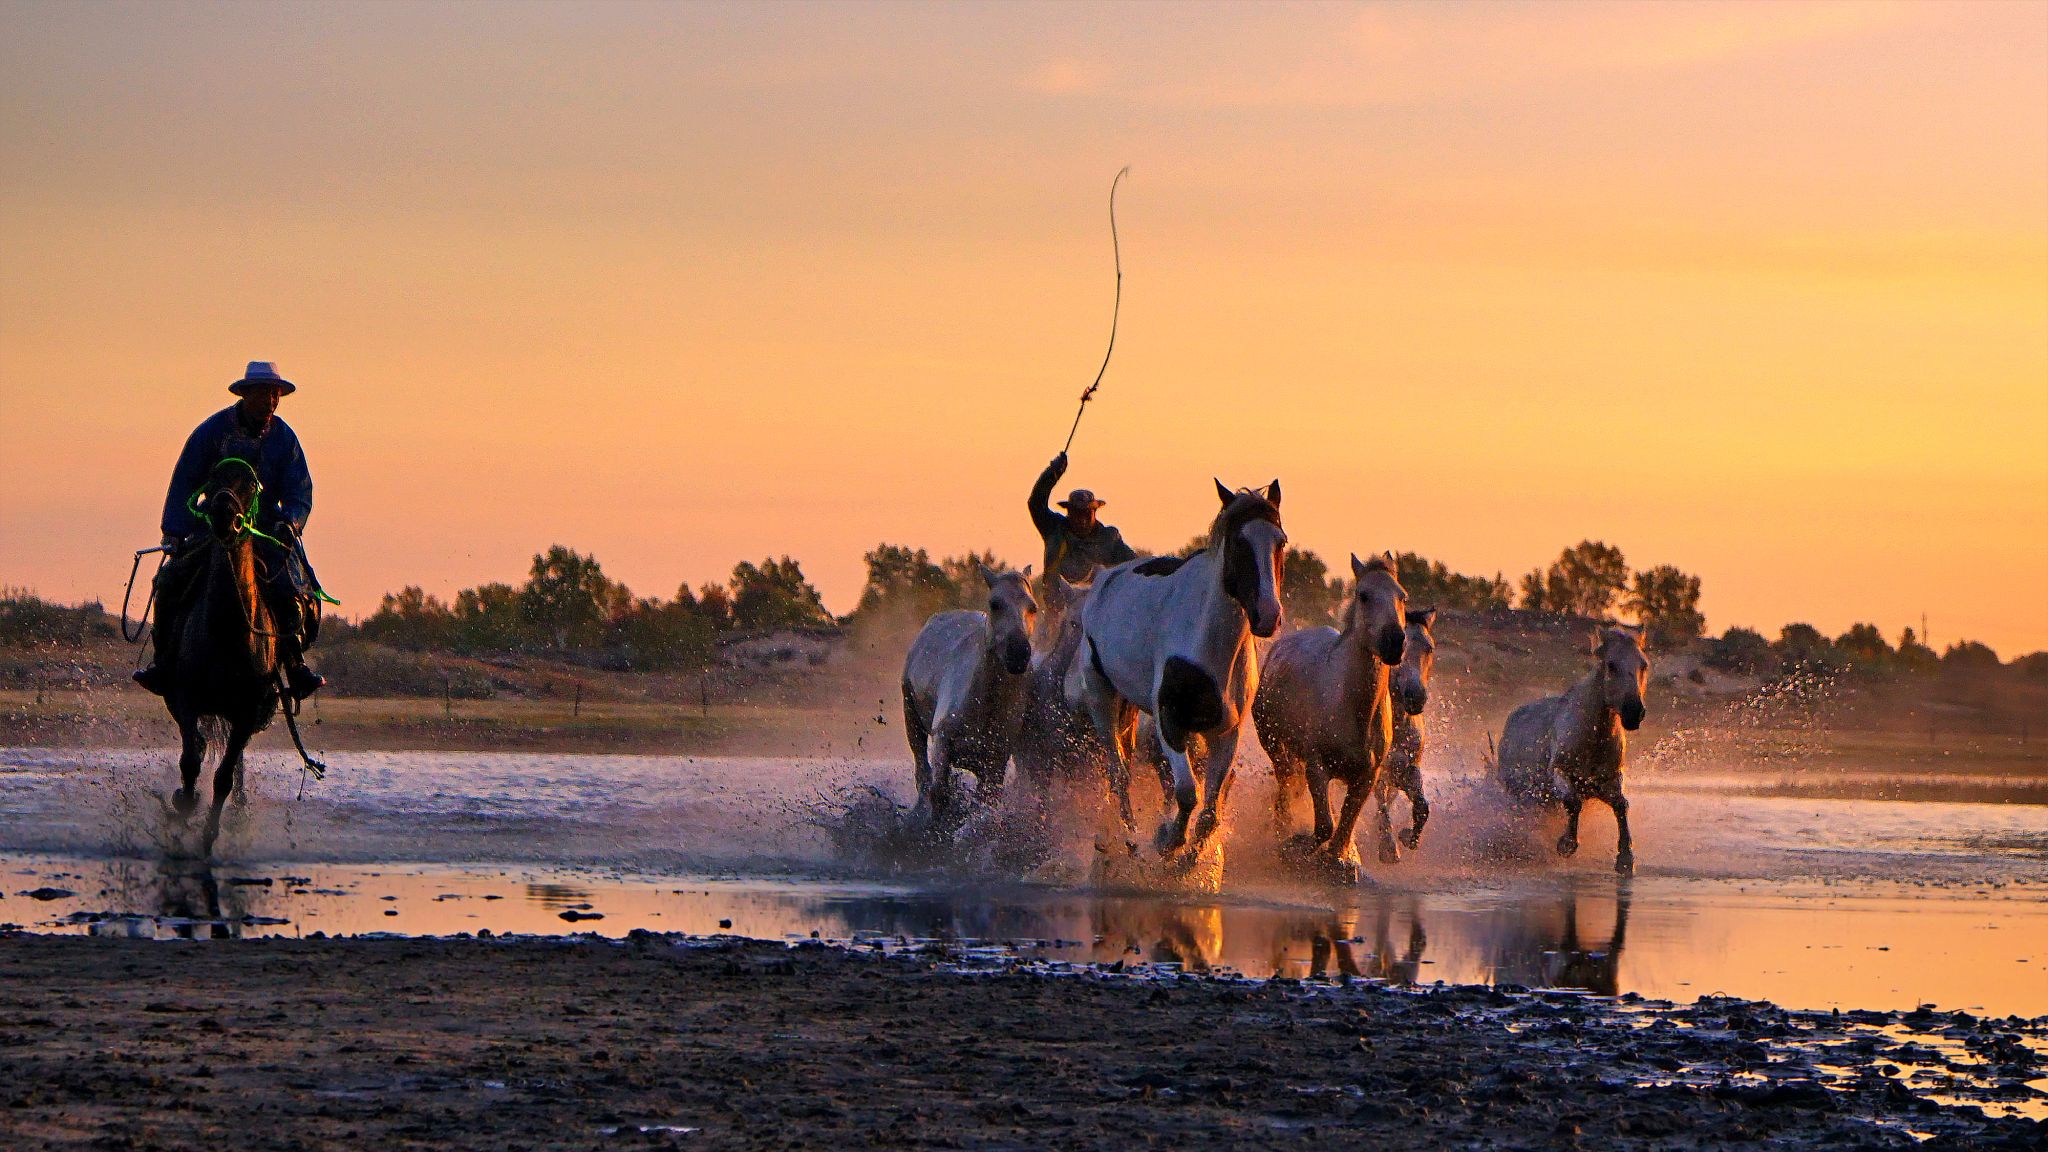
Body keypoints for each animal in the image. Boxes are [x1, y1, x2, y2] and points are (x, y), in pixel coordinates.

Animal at [905, 561, 1040, 824]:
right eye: (994, 603)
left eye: (1033, 607)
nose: (1018, 653)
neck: (985, 703)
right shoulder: (942, 743)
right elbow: (939, 794)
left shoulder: (995, 763)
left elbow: (984, 804)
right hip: (912, 719)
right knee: (922, 774)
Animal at [1064, 475, 1286, 860]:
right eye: (1238, 543)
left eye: (1281, 541)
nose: (1268, 615)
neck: (1209, 647)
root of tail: (1104, 577)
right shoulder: (1169, 722)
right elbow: (1186, 791)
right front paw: (1167, 839)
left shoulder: (1226, 734)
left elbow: (1210, 810)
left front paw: (1191, 856)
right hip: (1102, 701)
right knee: (1118, 773)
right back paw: (1130, 835)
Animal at [1245, 553, 1409, 865]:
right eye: (1363, 595)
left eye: (1402, 596)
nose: (1394, 641)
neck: (1354, 712)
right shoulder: (1316, 767)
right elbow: (1324, 826)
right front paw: (1292, 846)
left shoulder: (1366, 779)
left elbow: (1341, 835)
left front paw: (1335, 860)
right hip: (1275, 747)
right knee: (1285, 787)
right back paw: (1281, 828)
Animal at [1490, 623, 1646, 873]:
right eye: (1611, 664)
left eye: (1643, 664)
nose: (1634, 712)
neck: (1592, 740)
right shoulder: (1560, 772)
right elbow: (1573, 802)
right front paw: (1567, 844)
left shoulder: (1609, 779)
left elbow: (1621, 805)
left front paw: (1625, 858)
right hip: (1521, 794)